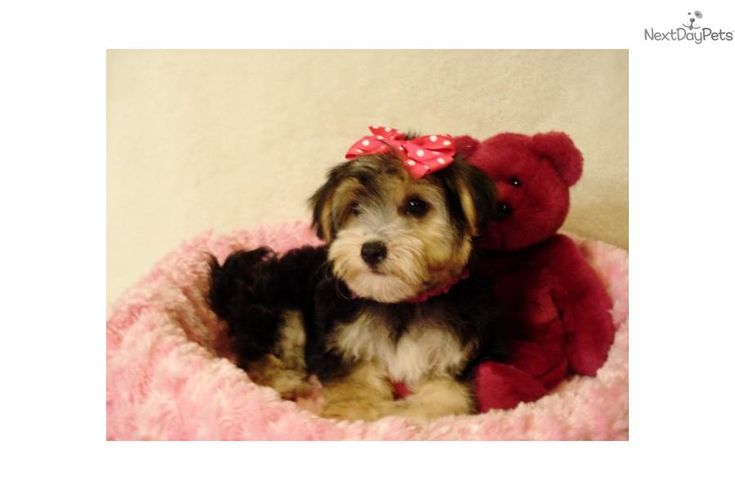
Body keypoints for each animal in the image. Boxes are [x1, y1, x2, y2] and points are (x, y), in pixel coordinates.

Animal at [207, 133, 506, 422]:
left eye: (416, 206)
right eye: (355, 208)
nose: (371, 250)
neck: (402, 303)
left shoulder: (451, 352)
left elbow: (448, 401)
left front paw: (411, 413)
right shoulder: (344, 343)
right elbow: (356, 381)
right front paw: (361, 410)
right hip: (278, 306)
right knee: (256, 353)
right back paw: (285, 383)